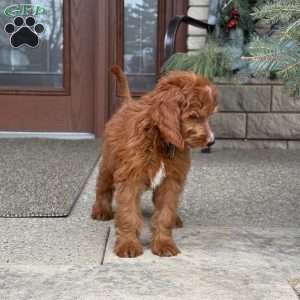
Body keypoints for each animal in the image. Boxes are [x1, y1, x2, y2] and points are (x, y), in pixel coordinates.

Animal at [91, 65, 218, 258]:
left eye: (209, 115)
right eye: (194, 116)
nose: (211, 141)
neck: (160, 140)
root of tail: (127, 103)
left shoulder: (171, 181)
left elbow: (165, 213)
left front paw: (164, 243)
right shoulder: (129, 178)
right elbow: (128, 213)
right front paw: (128, 244)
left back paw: (175, 219)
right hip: (108, 162)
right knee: (102, 186)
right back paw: (101, 210)